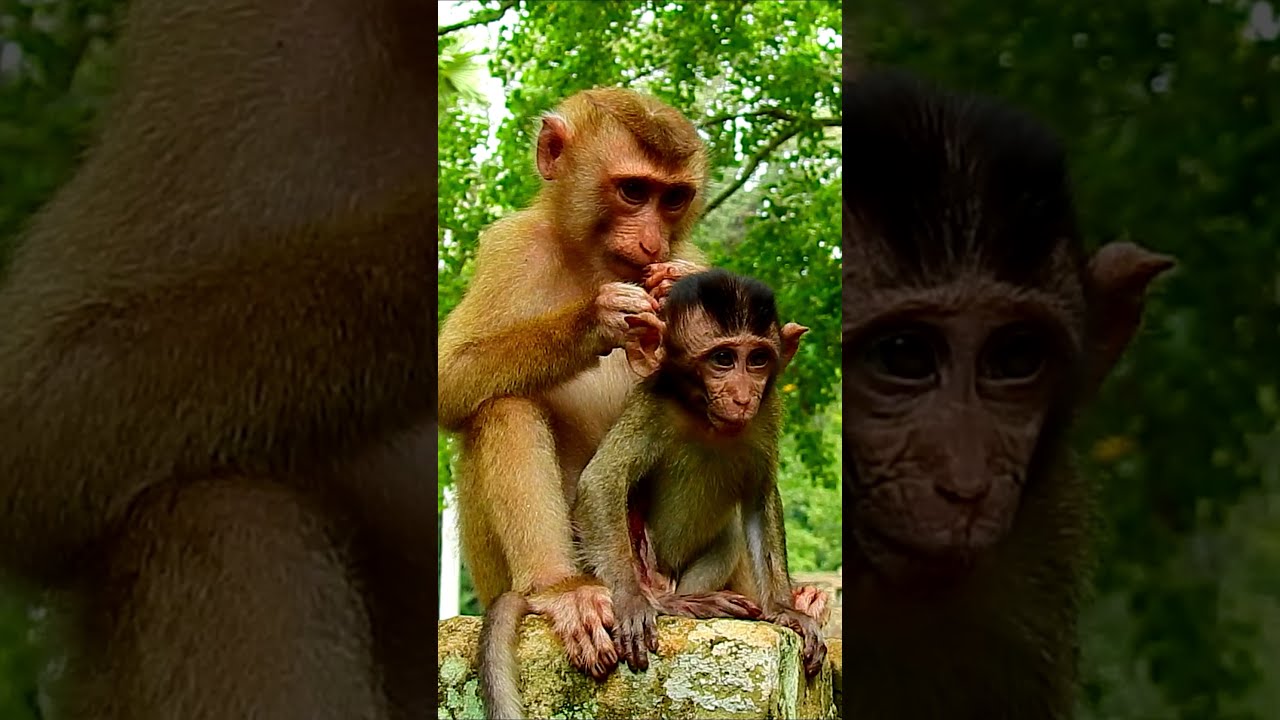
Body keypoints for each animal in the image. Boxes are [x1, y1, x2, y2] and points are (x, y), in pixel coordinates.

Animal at [437, 86, 711, 679]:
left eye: (674, 198)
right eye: (633, 191)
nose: (653, 244)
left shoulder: (696, 260)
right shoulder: (510, 247)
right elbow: (448, 377)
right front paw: (598, 317)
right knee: (503, 403)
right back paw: (562, 588)